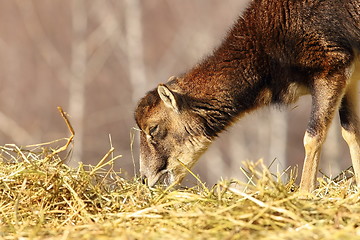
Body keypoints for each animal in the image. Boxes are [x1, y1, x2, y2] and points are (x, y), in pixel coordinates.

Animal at [134, 0, 360, 192]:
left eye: (153, 129)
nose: (145, 178)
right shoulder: (348, 76)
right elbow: (351, 132)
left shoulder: (330, 69)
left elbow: (313, 136)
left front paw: (304, 194)